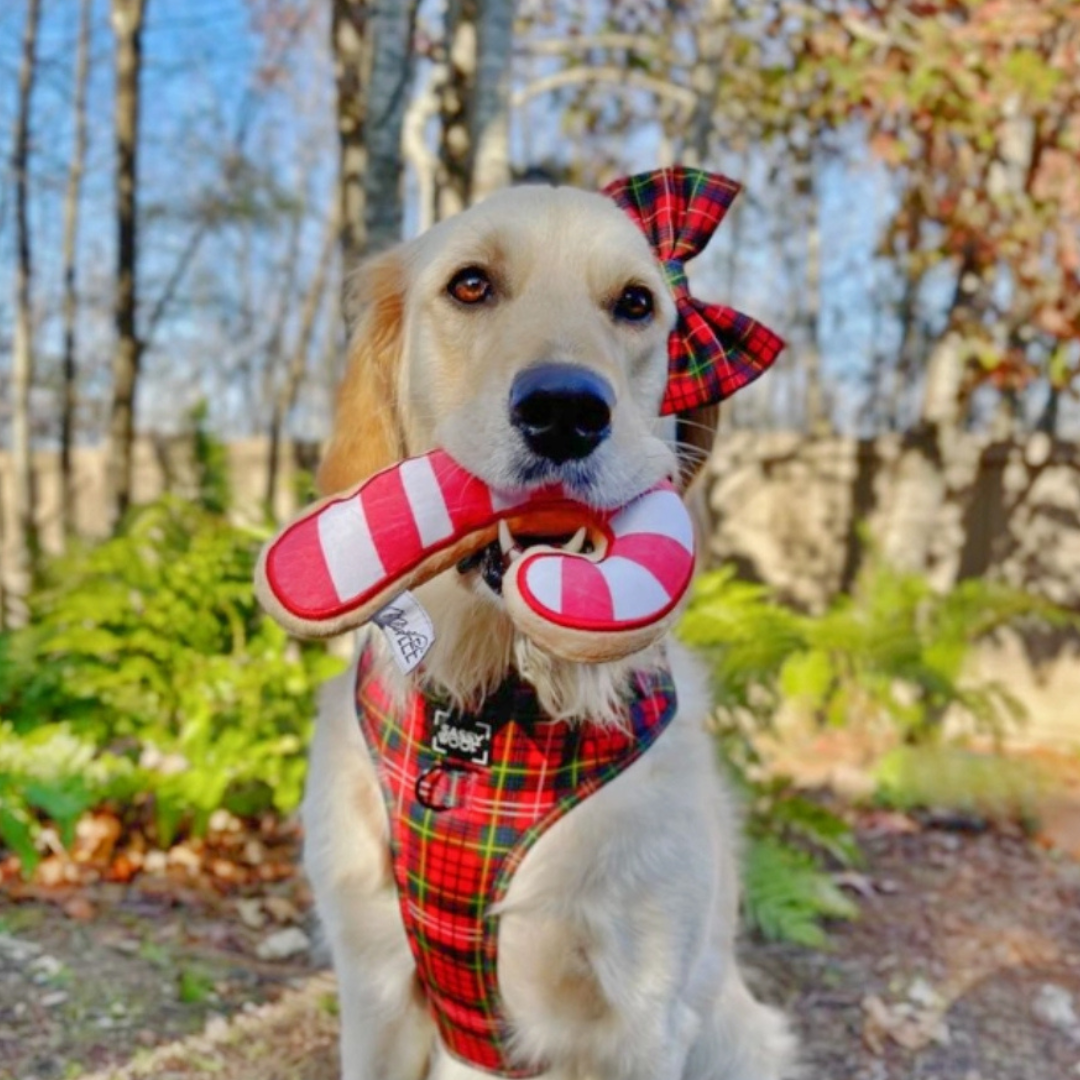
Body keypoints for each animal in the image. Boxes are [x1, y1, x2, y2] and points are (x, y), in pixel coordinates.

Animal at [300, 172, 799, 1075]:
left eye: (636, 303)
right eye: (470, 285)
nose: (565, 410)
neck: (497, 711)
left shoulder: (643, 1018)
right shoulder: (372, 985)